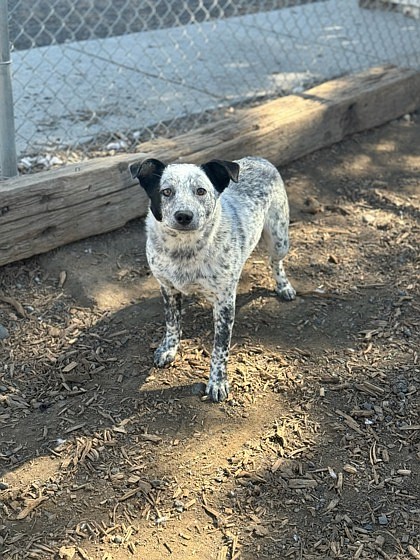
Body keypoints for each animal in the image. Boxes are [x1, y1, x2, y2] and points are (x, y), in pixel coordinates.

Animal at [128, 156, 296, 402]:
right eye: (166, 191)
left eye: (201, 191)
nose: (184, 215)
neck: (184, 250)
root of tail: (259, 158)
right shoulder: (167, 288)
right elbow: (172, 323)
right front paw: (168, 349)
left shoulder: (224, 304)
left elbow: (220, 348)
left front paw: (217, 382)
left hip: (279, 238)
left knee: (276, 262)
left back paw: (284, 286)